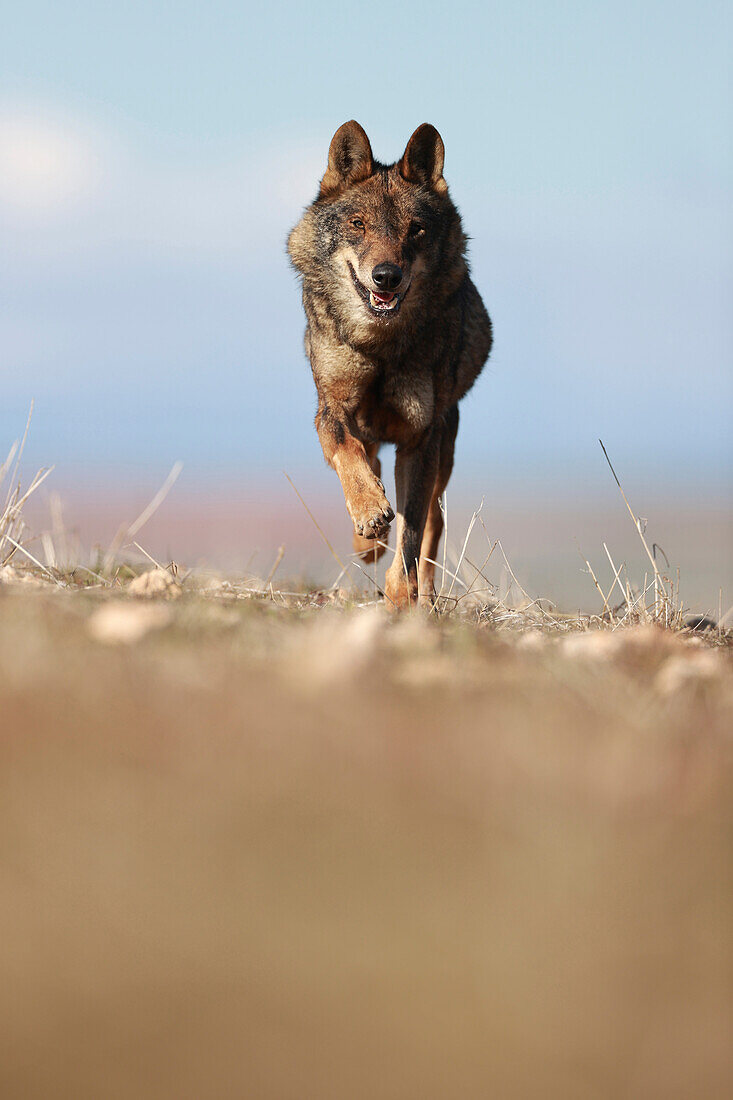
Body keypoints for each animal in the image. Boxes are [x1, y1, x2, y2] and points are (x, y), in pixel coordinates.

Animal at [286, 124, 490, 616]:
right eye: (358, 224)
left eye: (416, 230)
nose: (386, 276)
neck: (380, 345)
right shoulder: (331, 409)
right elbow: (348, 454)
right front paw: (368, 513)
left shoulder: (421, 439)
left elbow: (411, 536)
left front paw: (401, 598)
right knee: (370, 457)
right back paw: (369, 538)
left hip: (444, 450)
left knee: (433, 524)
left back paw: (424, 594)